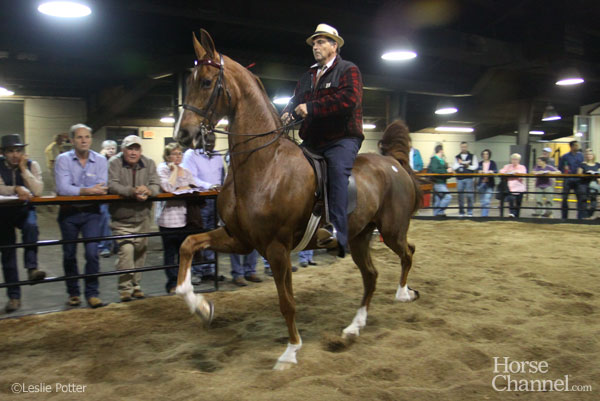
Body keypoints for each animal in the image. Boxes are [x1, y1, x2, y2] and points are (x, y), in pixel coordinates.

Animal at [173, 29, 422, 370]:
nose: (183, 135)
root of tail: (394, 163)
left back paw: (403, 294)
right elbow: (189, 244)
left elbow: (286, 302)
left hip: (392, 230)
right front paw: (200, 306)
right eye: (191, 80)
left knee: (407, 253)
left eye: (207, 82)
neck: (265, 163)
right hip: (358, 237)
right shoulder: (240, 239)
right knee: (371, 276)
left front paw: (290, 352)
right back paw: (353, 328)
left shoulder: (277, 249)